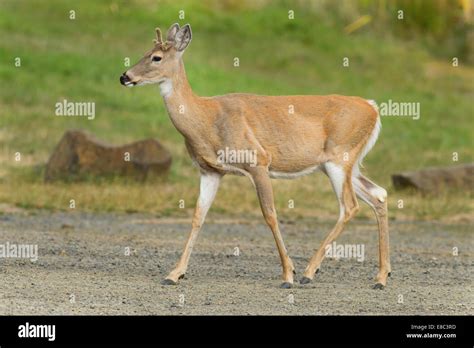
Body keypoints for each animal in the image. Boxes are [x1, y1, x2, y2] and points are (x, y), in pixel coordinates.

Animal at [120, 23, 390, 288]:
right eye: (145, 52)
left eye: (156, 57)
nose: (125, 77)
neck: (207, 119)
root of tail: (373, 108)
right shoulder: (210, 171)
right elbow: (198, 216)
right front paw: (174, 273)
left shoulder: (258, 161)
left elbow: (269, 214)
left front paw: (288, 274)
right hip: (340, 164)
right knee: (379, 194)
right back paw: (381, 276)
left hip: (339, 157)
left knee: (350, 206)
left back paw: (309, 272)